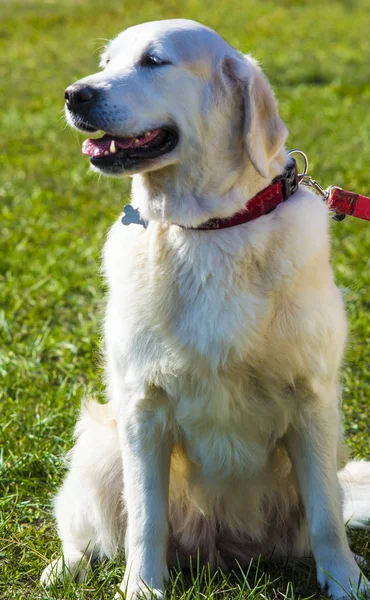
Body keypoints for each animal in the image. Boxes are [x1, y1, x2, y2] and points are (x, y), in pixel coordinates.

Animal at [41, 19, 370, 600]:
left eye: (154, 61)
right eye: (107, 62)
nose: (75, 94)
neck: (208, 228)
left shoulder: (311, 399)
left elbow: (327, 516)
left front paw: (345, 581)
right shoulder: (143, 405)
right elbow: (145, 518)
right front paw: (141, 588)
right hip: (101, 451)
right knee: (87, 534)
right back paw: (64, 568)